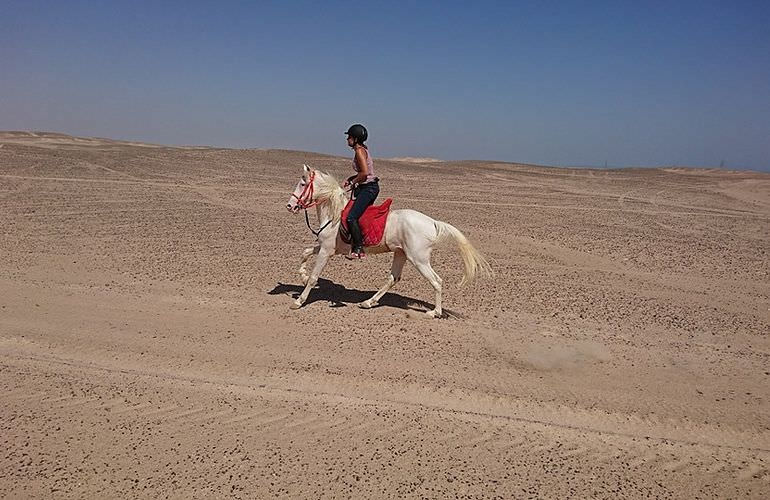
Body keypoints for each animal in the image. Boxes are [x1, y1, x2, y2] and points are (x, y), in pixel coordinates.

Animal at [284, 166, 488, 318]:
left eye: (302, 183)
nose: (290, 206)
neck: (334, 214)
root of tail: (432, 223)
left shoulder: (326, 251)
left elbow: (314, 277)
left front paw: (298, 301)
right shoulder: (326, 247)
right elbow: (305, 253)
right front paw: (302, 275)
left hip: (419, 259)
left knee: (436, 281)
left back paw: (434, 313)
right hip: (401, 253)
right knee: (393, 278)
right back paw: (368, 302)